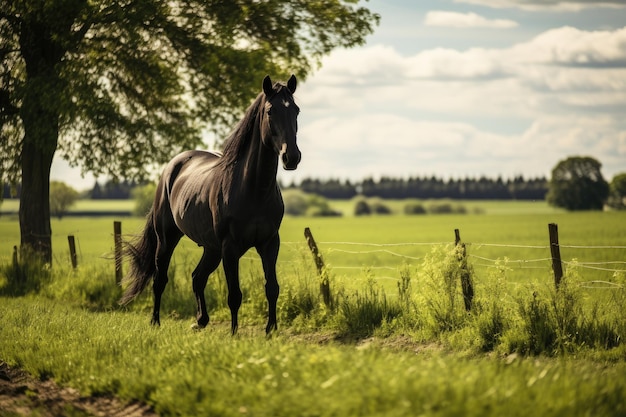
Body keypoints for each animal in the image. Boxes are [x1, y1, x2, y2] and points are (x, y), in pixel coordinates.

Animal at [120, 75, 302, 334]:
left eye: (296, 110)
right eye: (270, 110)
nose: (292, 157)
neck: (253, 189)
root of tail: (171, 167)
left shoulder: (269, 243)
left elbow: (272, 288)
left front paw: (271, 331)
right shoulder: (230, 247)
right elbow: (234, 294)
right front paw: (234, 334)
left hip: (211, 248)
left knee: (198, 277)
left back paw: (200, 321)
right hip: (167, 238)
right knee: (160, 279)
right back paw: (155, 322)